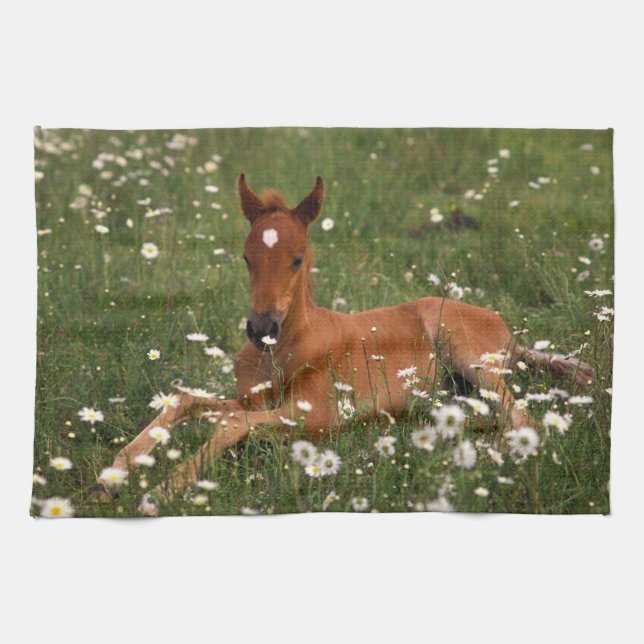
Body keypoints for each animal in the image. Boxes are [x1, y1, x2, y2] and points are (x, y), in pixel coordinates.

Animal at [100, 175, 592, 512]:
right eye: (245, 257)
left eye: (297, 258)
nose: (261, 329)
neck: (286, 351)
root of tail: (507, 332)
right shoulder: (250, 399)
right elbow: (186, 401)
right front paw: (113, 474)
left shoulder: (316, 416)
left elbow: (230, 424)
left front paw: (160, 492)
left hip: (470, 354)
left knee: (522, 420)